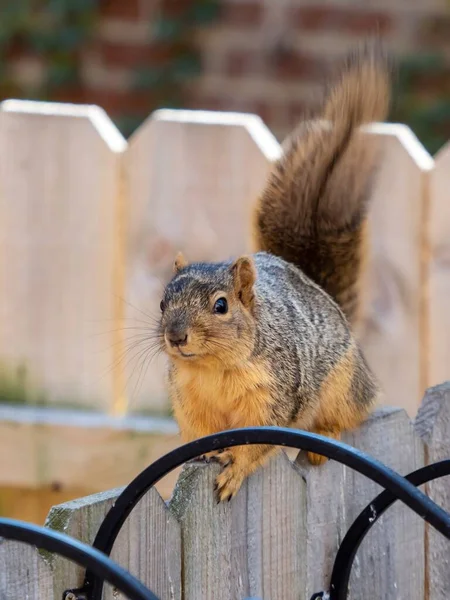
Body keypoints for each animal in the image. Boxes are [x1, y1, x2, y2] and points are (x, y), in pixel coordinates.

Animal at [157, 45, 390, 502]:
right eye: (161, 303)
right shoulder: (189, 401)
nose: (176, 336)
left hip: (344, 385)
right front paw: (202, 459)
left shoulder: (276, 394)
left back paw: (324, 437)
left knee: (347, 415)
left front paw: (234, 470)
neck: (213, 370)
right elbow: (199, 435)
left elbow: (260, 441)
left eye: (221, 306)